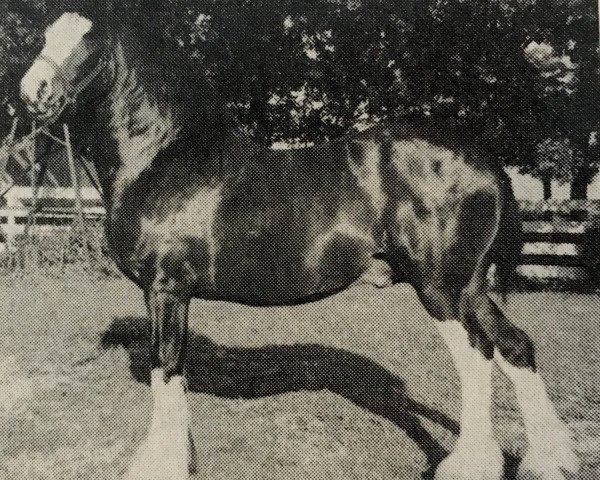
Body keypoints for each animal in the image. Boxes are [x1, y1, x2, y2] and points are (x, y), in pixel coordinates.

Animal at [19, 7, 580, 480]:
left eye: (88, 39)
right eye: (45, 34)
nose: (31, 92)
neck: (160, 156)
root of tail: (480, 158)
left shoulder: (165, 288)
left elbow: (167, 368)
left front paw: (161, 465)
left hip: (440, 287)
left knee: (478, 358)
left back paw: (469, 466)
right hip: (469, 287)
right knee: (515, 347)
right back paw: (550, 458)